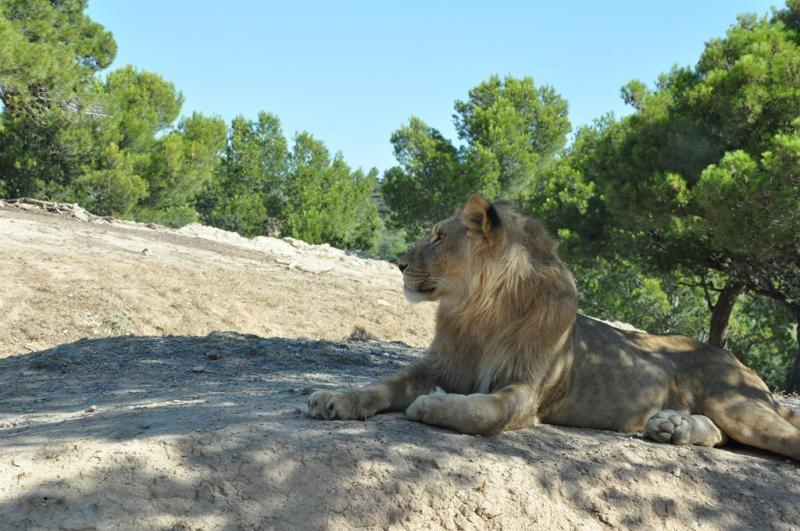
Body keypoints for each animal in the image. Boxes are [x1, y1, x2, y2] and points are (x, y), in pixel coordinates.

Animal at [307, 195, 800, 459]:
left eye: (439, 237)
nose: (399, 263)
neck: (480, 313)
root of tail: (742, 363)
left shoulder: (526, 392)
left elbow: (483, 412)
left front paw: (434, 405)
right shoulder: (438, 365)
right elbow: (382, 384)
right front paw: (334, 399)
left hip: (740, 406)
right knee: (720, 435)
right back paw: (671, 427)